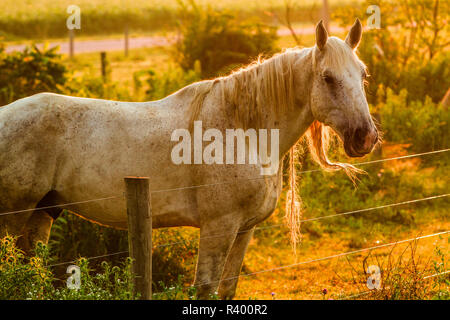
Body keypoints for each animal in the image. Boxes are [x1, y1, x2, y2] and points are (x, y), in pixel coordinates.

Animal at [1, 20, 378, 298]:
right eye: (328, 78)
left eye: (362, 75)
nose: (365, 137)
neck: (243, 131)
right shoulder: (218, 227)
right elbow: (206, 288)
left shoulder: (245, 230)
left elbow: (227, 288)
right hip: (14, 216)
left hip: (42, 213)